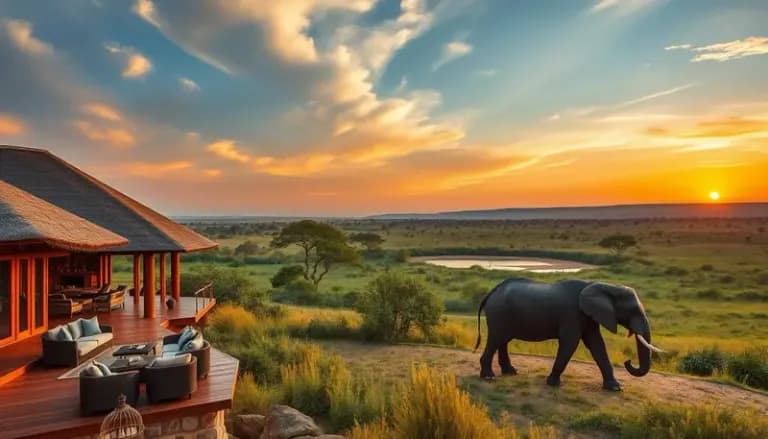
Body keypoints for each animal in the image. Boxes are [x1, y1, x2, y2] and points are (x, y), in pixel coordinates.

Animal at [474, 278, 660, 392]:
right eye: (633, 310)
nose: (628, 362)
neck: (602, 285)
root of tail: (491, 292)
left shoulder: (588, 315)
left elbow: (597, 344)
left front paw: (615, 388)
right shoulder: (572, 314)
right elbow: (570, 343)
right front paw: (553, 384)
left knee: (503, 340)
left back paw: (510, 372)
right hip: (498, 314)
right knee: (496, 339)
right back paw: (489, 377)